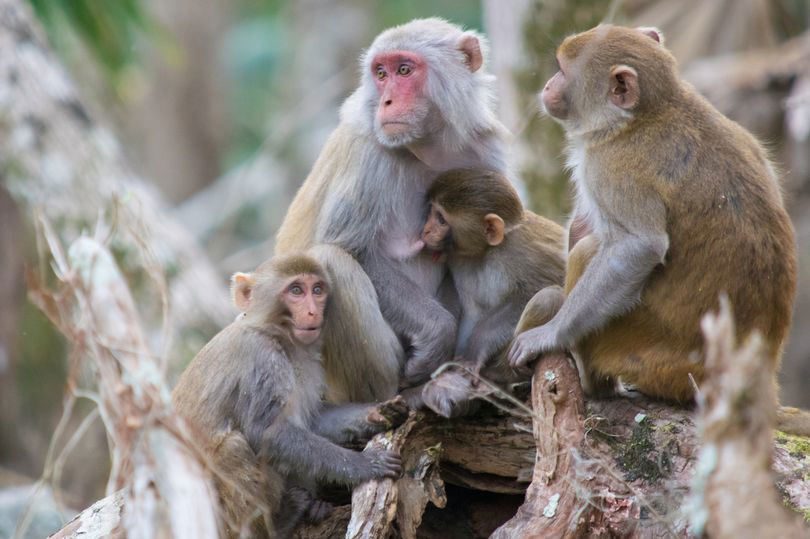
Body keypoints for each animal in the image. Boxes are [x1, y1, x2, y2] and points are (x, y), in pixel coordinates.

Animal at [172, 254, 406, 538]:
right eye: (296, 290)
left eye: (317, 290)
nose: (313, 311)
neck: (275, 333)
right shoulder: (261, 358)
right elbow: (266, 432)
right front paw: (364, 464)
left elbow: (311, 422)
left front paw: (377, 414)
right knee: (232, 447)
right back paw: (280, 522)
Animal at [273, 18, 509, 405]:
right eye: (381, 73)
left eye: (404, 70)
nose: (386, 100)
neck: (428, 147)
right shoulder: (369, 153)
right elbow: (351, 249)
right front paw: (436, 333)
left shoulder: (486, 152)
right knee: (333, 261)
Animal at [417, 169, 566, 418]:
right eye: (432, 213)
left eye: (441, 219)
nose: (425, 230)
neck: (487, 251)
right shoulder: (459, 260)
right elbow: (468, 306)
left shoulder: (519, 253)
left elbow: (534, 290)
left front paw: (474, 351)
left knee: (550, 298)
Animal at [507, 25, 798, 411]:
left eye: (563, 71)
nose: (548, 86)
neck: (649, 111)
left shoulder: (610, 167)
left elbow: (638, 246)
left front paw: (549, 335)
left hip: (640, 353)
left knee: (589, 251)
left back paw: (593, 384)